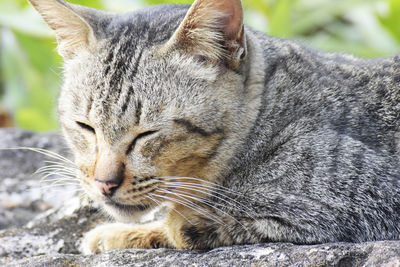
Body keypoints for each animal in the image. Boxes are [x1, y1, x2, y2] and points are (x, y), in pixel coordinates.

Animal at [28, 0, 400, 255]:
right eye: (85, 126)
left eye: (147, 133)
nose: (104, 184)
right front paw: (123, 232)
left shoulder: (359, 199)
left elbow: (183, 224)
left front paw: (128, 231)